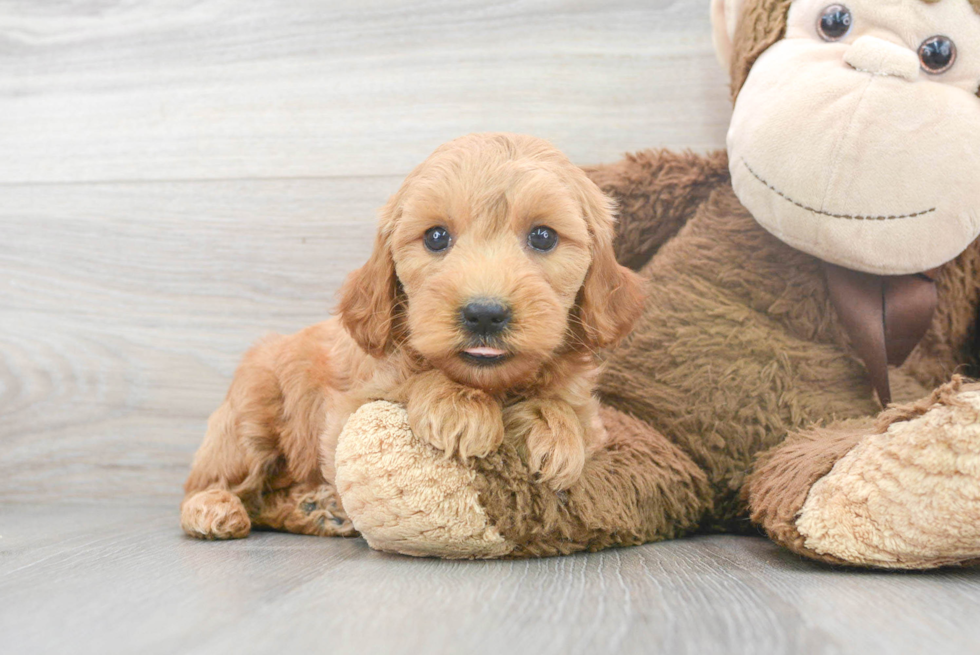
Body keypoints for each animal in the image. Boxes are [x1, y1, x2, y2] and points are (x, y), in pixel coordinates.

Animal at [181, 132, 648, 540]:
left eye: (543, 236)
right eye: (436, 237)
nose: (484, 314)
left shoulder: (590, 416)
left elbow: (563, 408)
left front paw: (553, 431)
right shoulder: (348, 409)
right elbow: (412, 378)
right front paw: (459, 407)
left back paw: (317, 508)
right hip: (250, 420)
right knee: (213, 485)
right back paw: (214, 508)